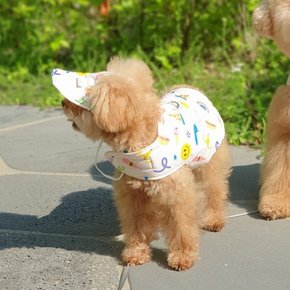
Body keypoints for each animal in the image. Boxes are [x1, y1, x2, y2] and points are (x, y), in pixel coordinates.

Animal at [59, 57, 231, 270]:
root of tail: (189, 87)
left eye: (83, 99)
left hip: (208, 162)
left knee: (214, 190)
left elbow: (181, 227)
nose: (62, 102)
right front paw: (136, 253)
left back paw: (214, 219)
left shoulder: (177, 197)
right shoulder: (133, 196)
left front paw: (182, 256)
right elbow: (136, 226)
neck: (141, 143)